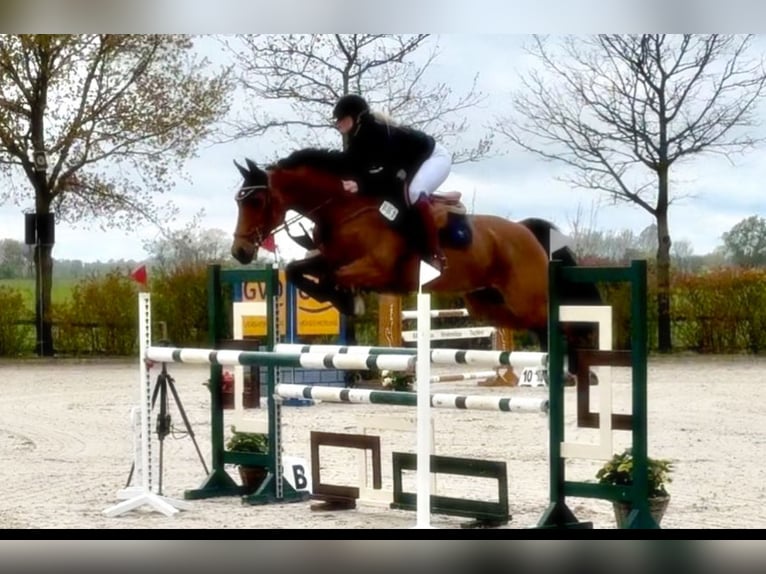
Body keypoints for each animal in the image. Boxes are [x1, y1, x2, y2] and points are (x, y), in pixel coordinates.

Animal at [230, 148, 602, 377]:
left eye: (257, 200)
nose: (240, 252)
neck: (344, 209)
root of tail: (524, 229)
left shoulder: (376, 269)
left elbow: (337, 278)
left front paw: (349, 301)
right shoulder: (330, 259)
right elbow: (298, 271)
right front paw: (343, 300)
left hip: (525, 296)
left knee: (561, 321)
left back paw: (579, 367)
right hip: (489, 305)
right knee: (540, 325)